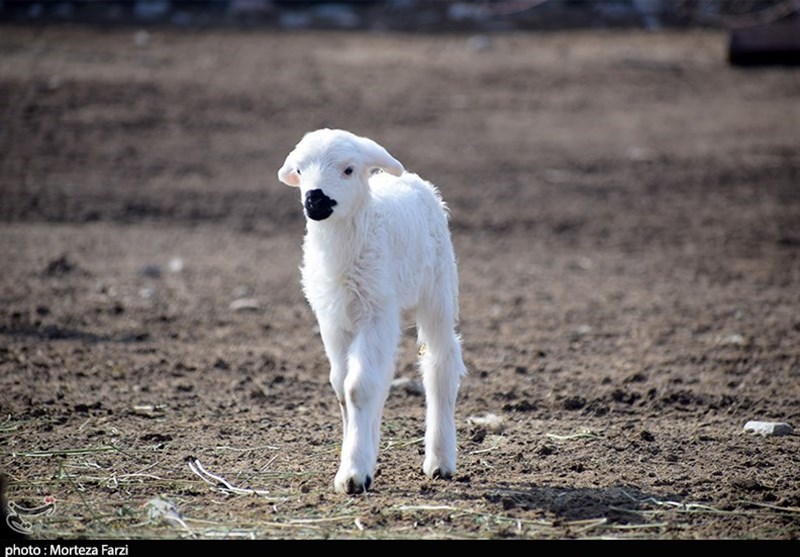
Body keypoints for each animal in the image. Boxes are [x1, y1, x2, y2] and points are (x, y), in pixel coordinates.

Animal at [278, 129, 466, 490]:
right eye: (300, 170)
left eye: (349, 170)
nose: (315, 200)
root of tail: (411, 179)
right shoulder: (332, 319)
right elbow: (342, 386)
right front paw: (357, 459)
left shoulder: (376, 311)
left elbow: (358, 387)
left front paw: (353, 473)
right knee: (384, 374)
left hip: (438, 287)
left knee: (441, 362)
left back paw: (440, 460)